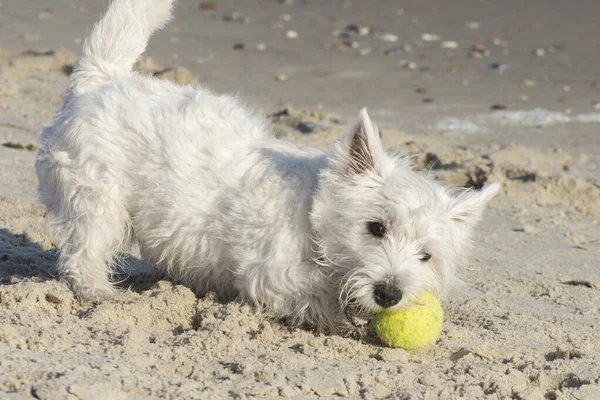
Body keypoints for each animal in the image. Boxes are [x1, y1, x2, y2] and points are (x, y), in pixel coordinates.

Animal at [35, 0, 500, 332]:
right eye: (376, 227)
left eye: (426, 256)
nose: (389, 293)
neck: (311, 218)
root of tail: (101, 80)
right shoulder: (271, 272)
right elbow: (312, 293)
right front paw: (344, 316)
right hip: (96, 198)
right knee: (83, 253)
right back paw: (102, 293)